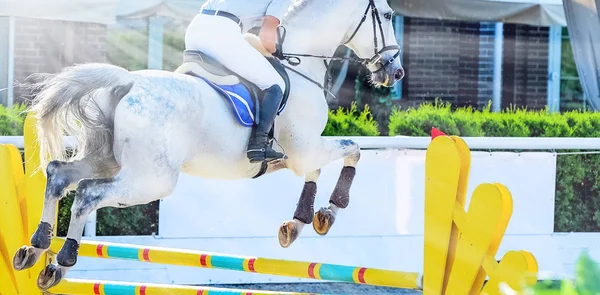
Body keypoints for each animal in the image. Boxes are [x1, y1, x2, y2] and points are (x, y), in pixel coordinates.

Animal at [11, 0, 404, 292]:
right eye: (387, 15)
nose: (395, 72)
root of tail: (127, 83)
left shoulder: (300, 155)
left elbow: (318, 169)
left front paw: (298, 223)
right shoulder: (305, 149)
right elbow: (353, 149)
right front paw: (329, 212)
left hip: (110, 160)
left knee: (59, 176)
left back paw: (35, 248)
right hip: (151, 179)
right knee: (88, 194)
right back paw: (62, 262)